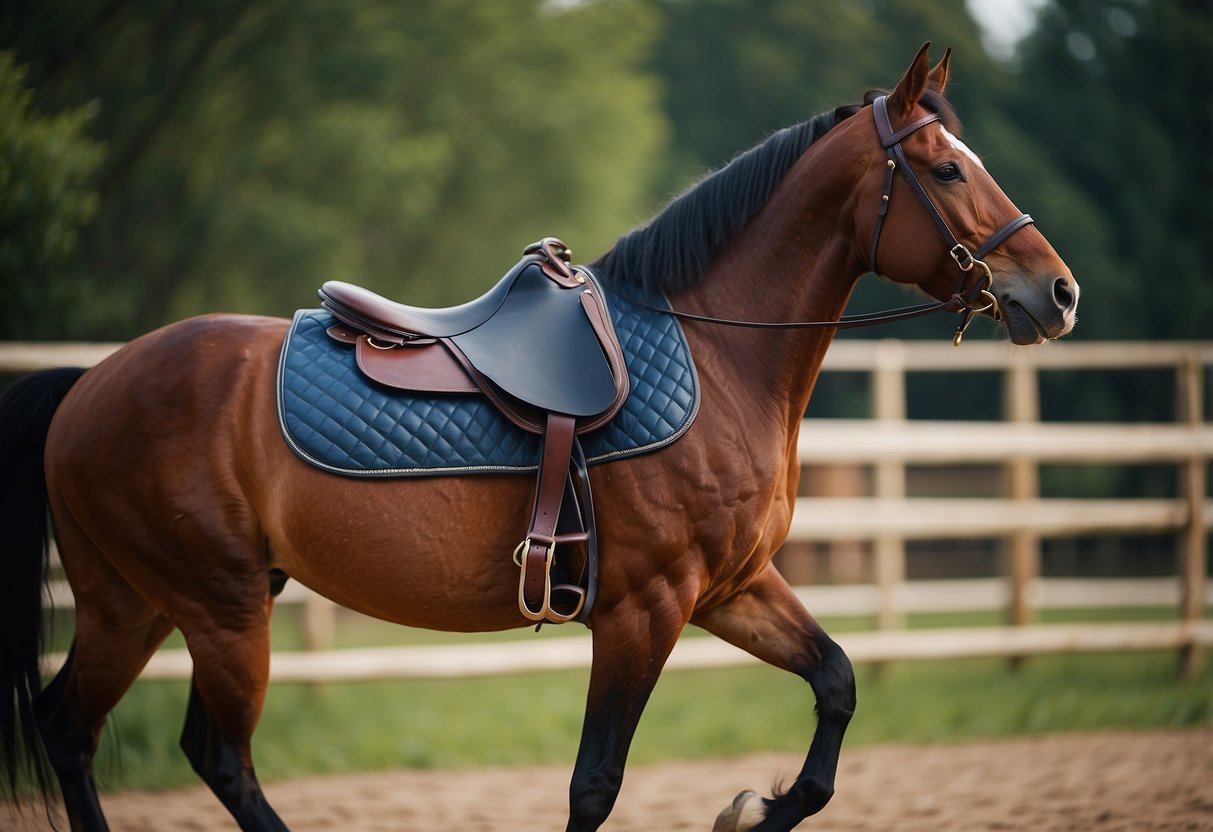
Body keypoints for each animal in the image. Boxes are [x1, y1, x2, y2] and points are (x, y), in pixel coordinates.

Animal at [4, 47, 1077, 832]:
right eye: (946, 167)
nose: (1058, 291)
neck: (710, 350)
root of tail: (89, 385)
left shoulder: (728, 591)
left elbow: (836, 693)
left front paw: (749, 806)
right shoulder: (644, 611)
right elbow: (593, 785)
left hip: (140, 604)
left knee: (71, 728)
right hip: (218, 610)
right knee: (218, 758)